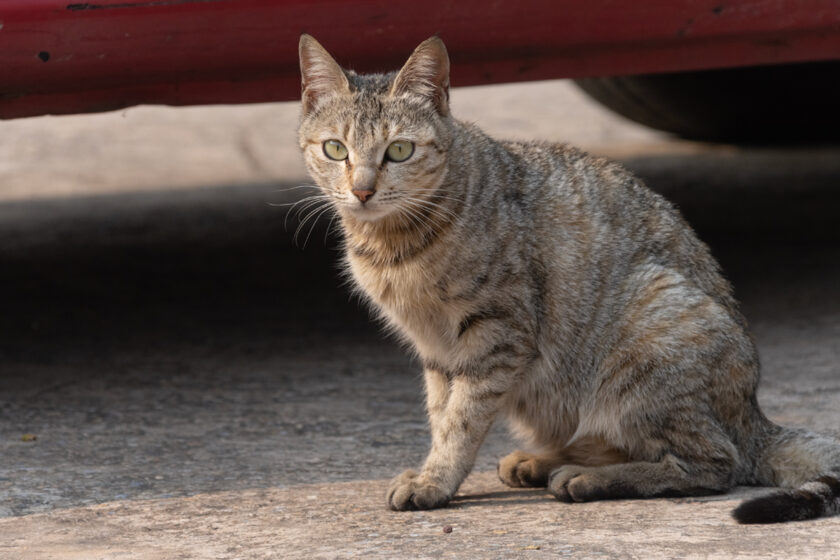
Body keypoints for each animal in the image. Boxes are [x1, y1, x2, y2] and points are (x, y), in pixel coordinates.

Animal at [296, 35, 840, 524]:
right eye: (335, 148)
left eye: (400, 151)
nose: (362, 190)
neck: (392, 245)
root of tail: (754, 416)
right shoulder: (434, 348)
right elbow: (441, 411)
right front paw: (436, 469)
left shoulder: (498, 334)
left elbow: (462, 418)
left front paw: (436, 480)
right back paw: (544, 462)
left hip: (651, 331)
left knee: (713, 464)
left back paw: (586, 478)